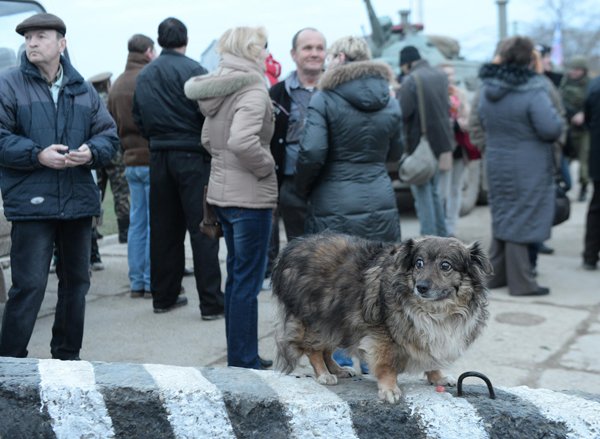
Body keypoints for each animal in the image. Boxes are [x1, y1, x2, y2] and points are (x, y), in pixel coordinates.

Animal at [272, 234, 492, 402]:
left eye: (445, 266)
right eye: (419, 263)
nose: (420, 286)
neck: (436, 310)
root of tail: (290, 248)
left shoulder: (428, 336)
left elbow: (431, 359)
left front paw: (437, 377)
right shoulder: (383, 336)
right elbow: (386, 365)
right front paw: (389, 389)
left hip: (337, 320)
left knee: (327, 349)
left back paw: (337, 369)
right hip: (317, 319)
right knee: (314, 349)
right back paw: (324, 374)